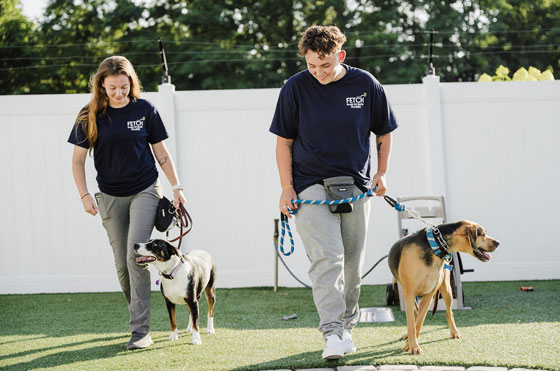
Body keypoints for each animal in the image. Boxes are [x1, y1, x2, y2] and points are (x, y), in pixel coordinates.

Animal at [390, 221, 498, 354]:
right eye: (483, 234)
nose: (498, 243)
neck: (433, 247)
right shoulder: (409, 294)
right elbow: (412, 323)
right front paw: (412, 344)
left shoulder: (428, 296)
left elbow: (418, 323)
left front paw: (412, 344)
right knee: (414, 314)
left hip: (447, 290)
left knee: (448, 312)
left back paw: (454, 332)